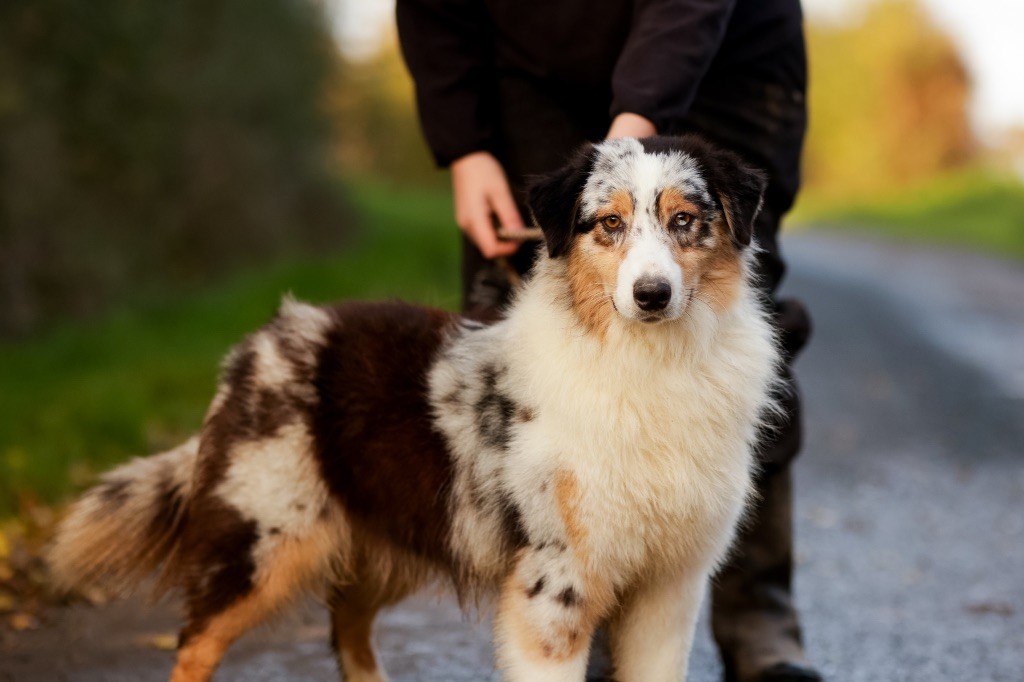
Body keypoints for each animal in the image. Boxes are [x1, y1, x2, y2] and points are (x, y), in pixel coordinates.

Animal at [48, 134, 778, 679]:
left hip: (392, 534)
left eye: (684, 221)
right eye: (610, 224)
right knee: (196, 643)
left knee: (346, 624)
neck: (649, 362)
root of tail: (258, 343)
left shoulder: (671, 585)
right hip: (262, 540)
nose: (652, 294)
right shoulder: (554, 583)